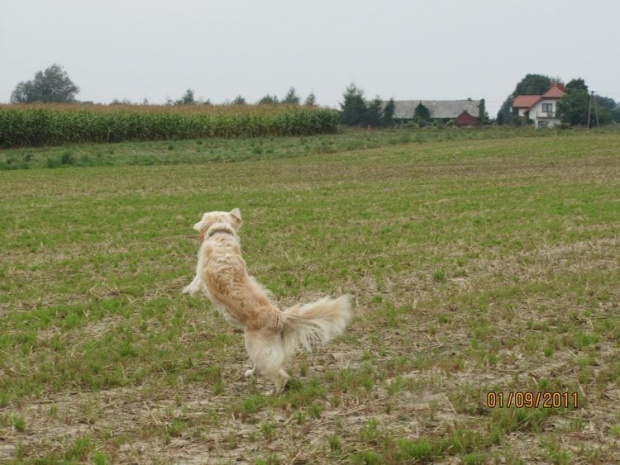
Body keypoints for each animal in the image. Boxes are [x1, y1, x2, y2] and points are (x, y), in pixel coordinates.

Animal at [182, 208, 352, 394]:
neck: (221, 235)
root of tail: (279, 317)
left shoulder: (200, 274)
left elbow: (194, 284)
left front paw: (185, 291)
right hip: (263, 348)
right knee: (270, 365)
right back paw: (251, 373)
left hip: (257, 346)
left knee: (280, 374)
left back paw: (272, 392)